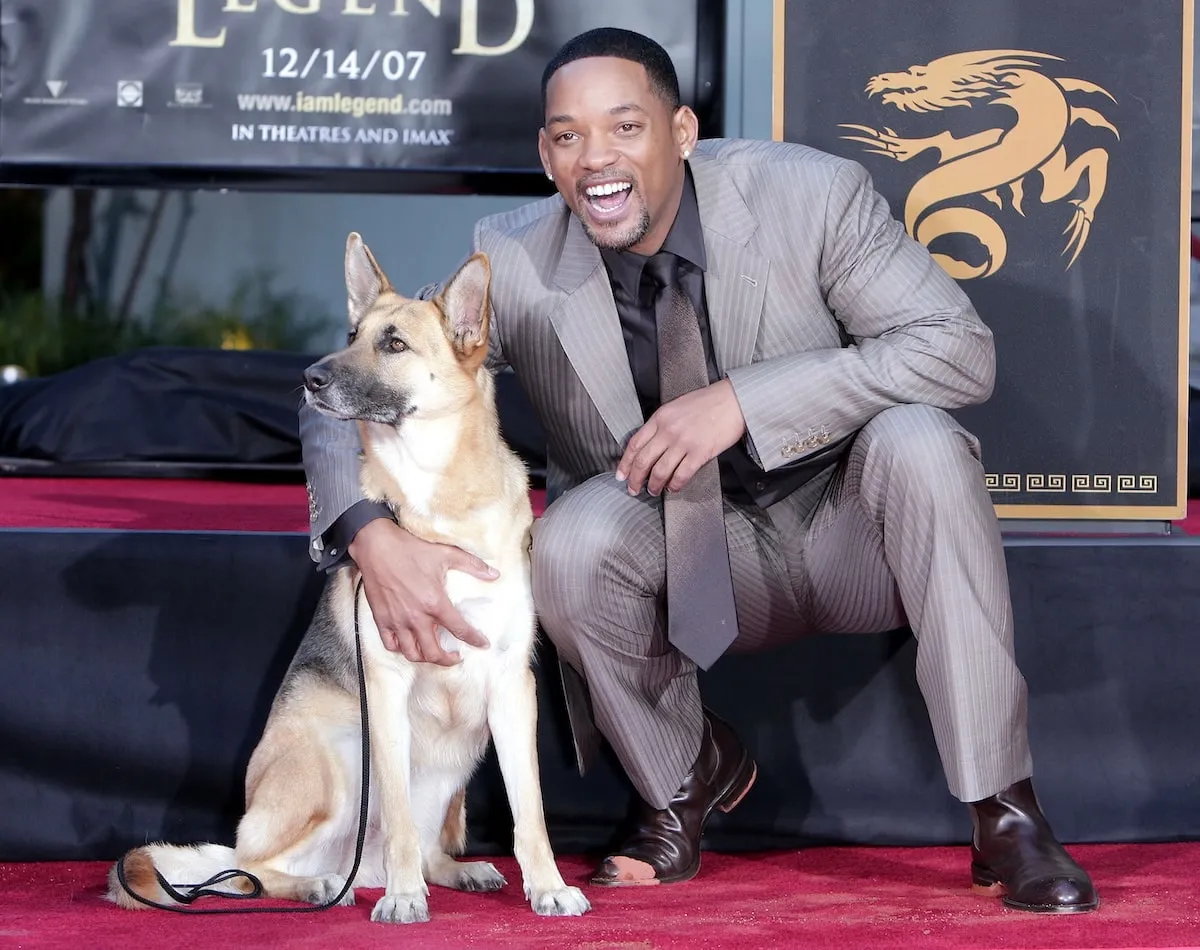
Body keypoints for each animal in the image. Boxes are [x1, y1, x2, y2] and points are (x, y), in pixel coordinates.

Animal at [105, 233, 592, 926]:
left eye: (395, 344)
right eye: (352, 334)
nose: (309, 378)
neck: (440, 502)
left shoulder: (510, 686)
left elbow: (531, 811)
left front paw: (547, 885)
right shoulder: (386, 688)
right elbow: (399, 825)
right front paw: (405, 899)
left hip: (458, 763)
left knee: (403, 845)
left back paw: (453, 871)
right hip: (338, 761)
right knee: (249, 872)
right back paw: (319, 886)